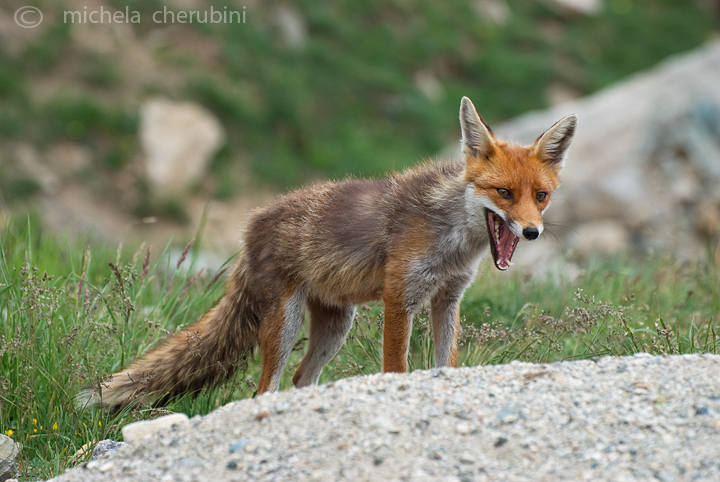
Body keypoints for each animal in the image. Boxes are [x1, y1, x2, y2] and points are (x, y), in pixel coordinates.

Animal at [79, 96, 576, 408]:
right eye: (504, 193)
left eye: (541, 196)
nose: (532, 232)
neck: (451, 239)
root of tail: (251, 226)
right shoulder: (400, 298)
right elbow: (396, 367)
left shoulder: (447, 299)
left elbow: (445, 363)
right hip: (284, 323)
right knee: (266, 388)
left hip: (337, 324)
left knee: (302, 379)